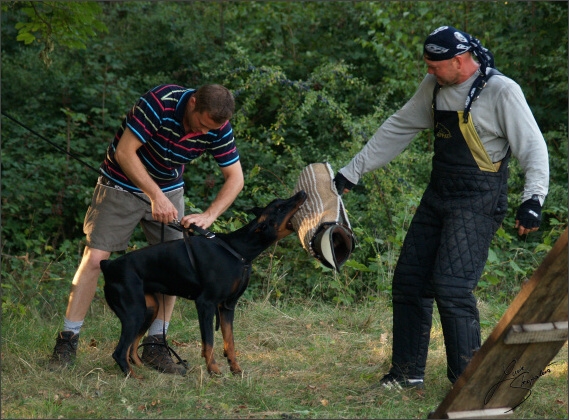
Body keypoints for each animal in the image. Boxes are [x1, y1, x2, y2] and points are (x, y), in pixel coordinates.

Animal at [101, 190, 306, 378]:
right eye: (280, 208)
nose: (302, 193)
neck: (239, 249)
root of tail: (108, 265)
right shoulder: (206, 303)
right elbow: (209, 341)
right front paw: (214, 371)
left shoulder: (227, 306)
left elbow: (230, 341)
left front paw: (235, 369)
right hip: (134, 311)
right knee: (119, 352)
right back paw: (134, 377)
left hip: (149, 308)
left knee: (132, 347)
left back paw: (144, 370)